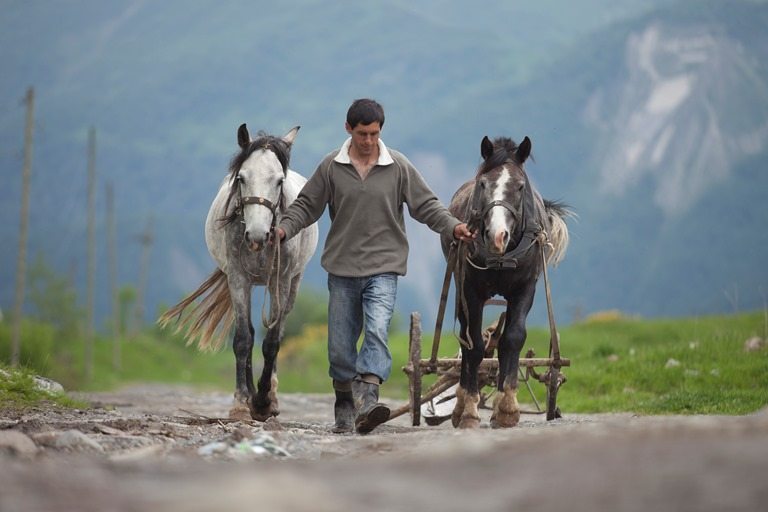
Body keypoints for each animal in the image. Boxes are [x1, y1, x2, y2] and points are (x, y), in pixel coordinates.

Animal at [159, 124, 318, 420]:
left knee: (278, 331)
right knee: (251, 333)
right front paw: (243, 402)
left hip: (292, 284)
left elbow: (272, 341)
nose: (257, 235)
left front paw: (264, 402)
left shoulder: (280, 281)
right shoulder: (238, 279)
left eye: (279, 181)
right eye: (242, 178)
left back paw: (271, 397)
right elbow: (243, 339)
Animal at [444, 135, 568, 428]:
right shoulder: (470, 291)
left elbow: (512, 339)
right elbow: (474, 345)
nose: (497, 236)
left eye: (520, 186)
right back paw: (460, 404)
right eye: (483, 184)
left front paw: (507, 408)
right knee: (466, 339)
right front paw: (469, 410)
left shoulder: (525, 288)